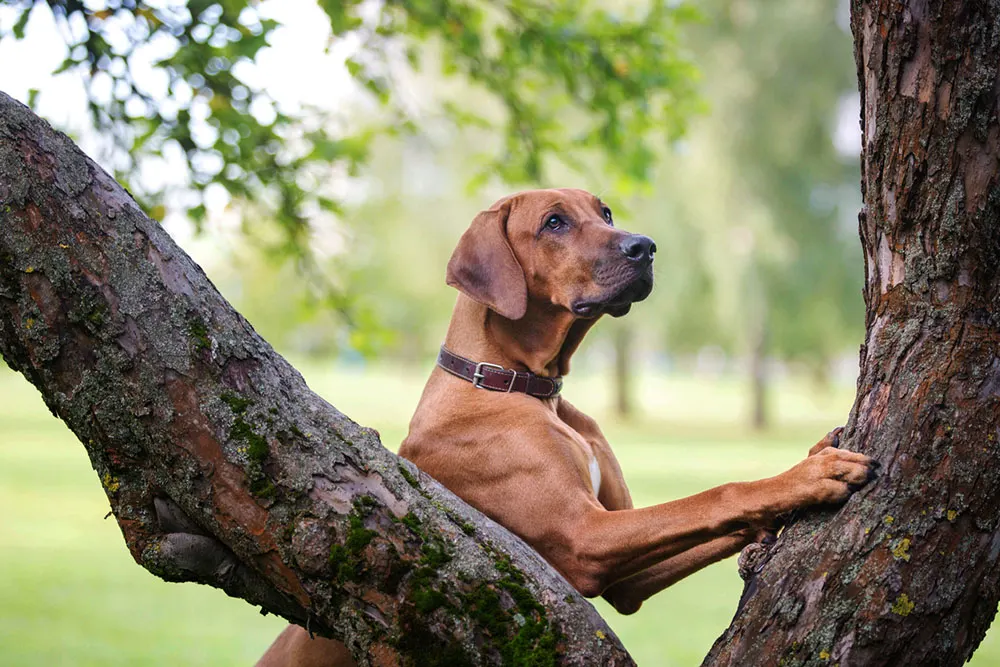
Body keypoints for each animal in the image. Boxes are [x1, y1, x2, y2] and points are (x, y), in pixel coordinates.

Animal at [260, 189, 876, 667]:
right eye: (554, 222)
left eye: (605, 212)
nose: (645, 246)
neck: (519, 386)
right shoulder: (585, 536)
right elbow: (716, 495)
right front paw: (806, 477)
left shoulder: (624, 578)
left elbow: (700, 525)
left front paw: (804, 468)